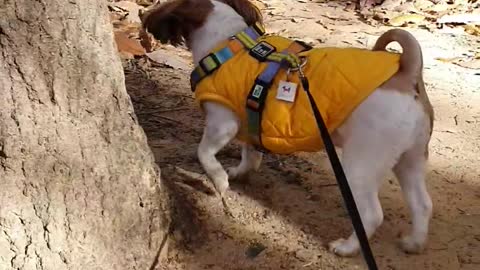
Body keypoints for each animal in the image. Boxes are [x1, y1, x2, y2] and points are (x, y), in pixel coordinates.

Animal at [142, 0, 436, 258]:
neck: (229, 44)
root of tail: (407, 74)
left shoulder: (221, 123)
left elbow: (204, 153)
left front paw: (219, 179)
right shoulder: (249, 122)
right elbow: (250, 155)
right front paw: (237, 172)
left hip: (361, 165)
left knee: (372, 214)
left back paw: (348, 247)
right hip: (410, 159)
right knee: (422, 204)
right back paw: (414, 242)